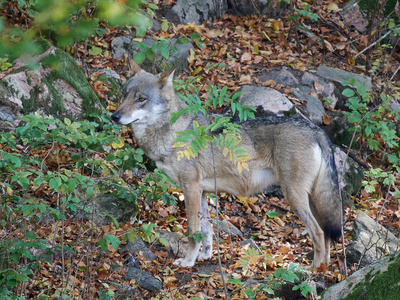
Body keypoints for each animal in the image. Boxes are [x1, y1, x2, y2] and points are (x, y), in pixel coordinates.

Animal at [111, 65, 342, 268]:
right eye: (124, 95)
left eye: (141, 99)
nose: (115, 116)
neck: (173, 131)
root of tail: (316, 130)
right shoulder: (202, 191)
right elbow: (206, 230)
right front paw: (204, 256)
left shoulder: (190, 188)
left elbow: (192, 231)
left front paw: (187, 262)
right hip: (310, 199)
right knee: (326, 232)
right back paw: (325, 268)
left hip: (294, 197)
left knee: (318, 233)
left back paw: (312, 270)